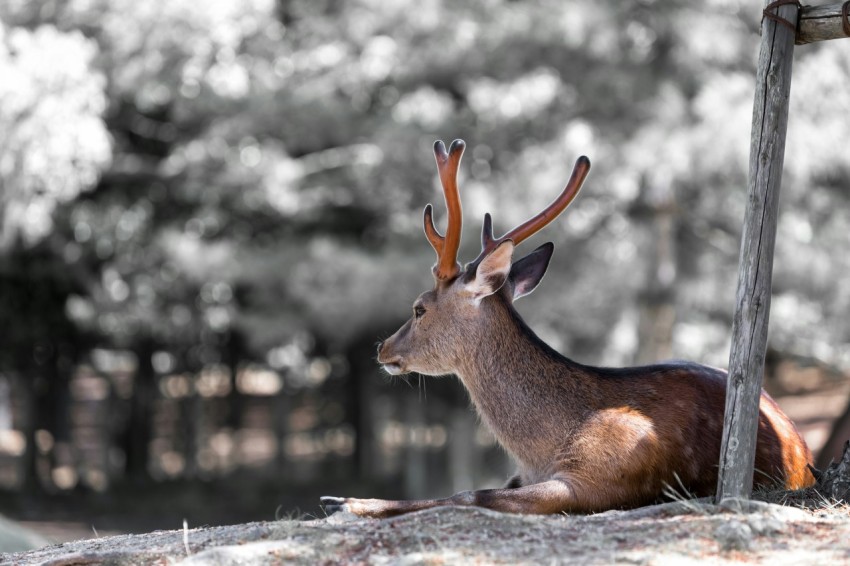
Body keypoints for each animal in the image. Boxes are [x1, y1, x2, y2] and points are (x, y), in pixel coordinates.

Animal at [321, 139, 815, 518]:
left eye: (419, 308)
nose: (383, 348)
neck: (542, 448)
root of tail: (805, 449)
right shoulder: (522, 474)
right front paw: (344, 499)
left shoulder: (599, 478)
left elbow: (469, 493)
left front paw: (346, 502)